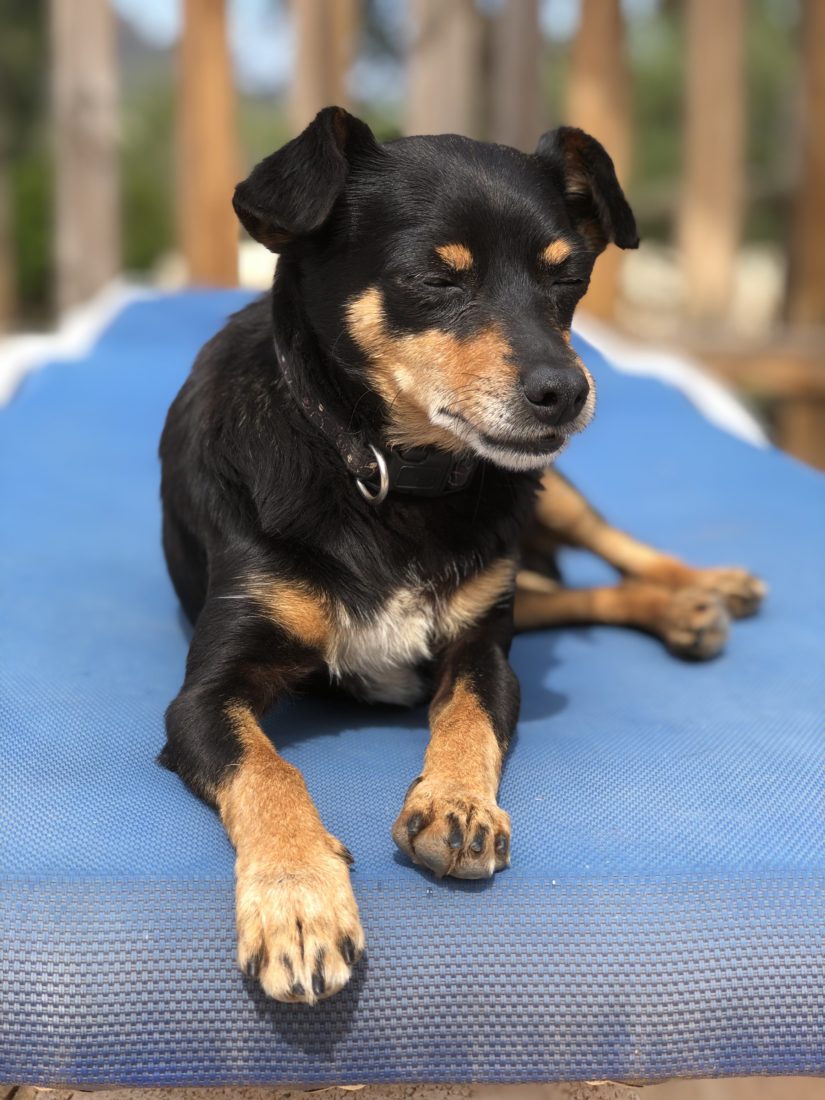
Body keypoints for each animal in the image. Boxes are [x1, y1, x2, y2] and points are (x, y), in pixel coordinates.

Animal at [161, 109, 770, 1007]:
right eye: (435, 278)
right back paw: (686, 609)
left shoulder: (485, 651)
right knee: (557, 591)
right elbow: (271, 775)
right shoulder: (203, 700)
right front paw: (297, 901)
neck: (389, 477)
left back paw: (700, 586)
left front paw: (454, 804)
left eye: (569, 276)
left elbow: (469, 718)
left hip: (547, 491)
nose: (566, 391)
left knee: (601, 552)